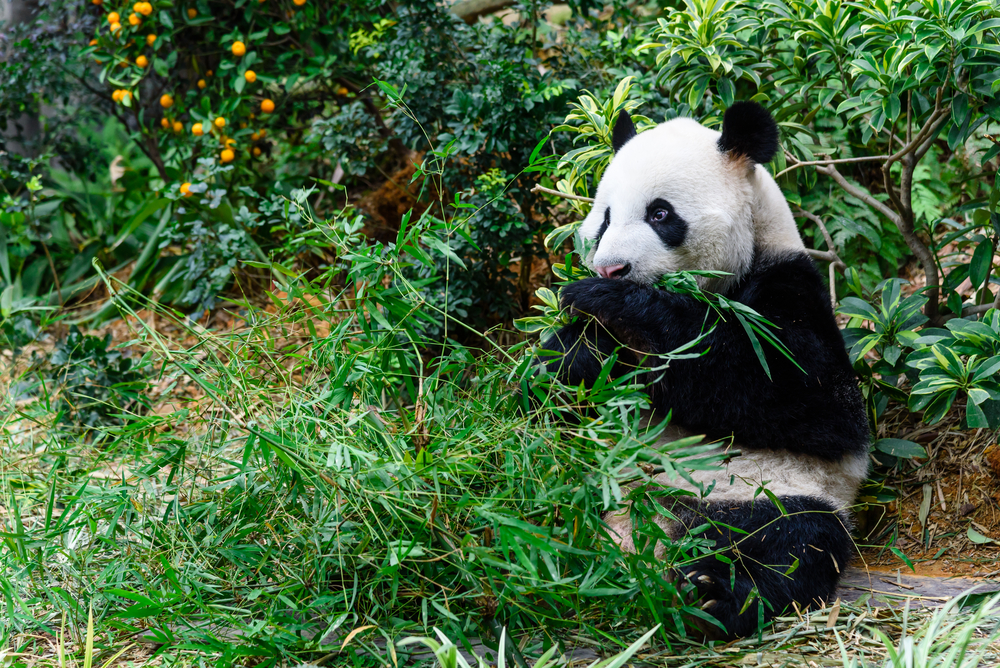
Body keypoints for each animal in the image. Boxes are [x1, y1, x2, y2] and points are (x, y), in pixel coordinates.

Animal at [539, 101, 870, 639]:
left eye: (660, 213)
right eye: (604, 218)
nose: (610, 268)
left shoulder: (790, 291)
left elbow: (801, 396)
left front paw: (613, 303)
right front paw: (579, 351)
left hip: (762, 492)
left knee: (790, 541)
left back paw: (710, 596)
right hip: (580, 481)